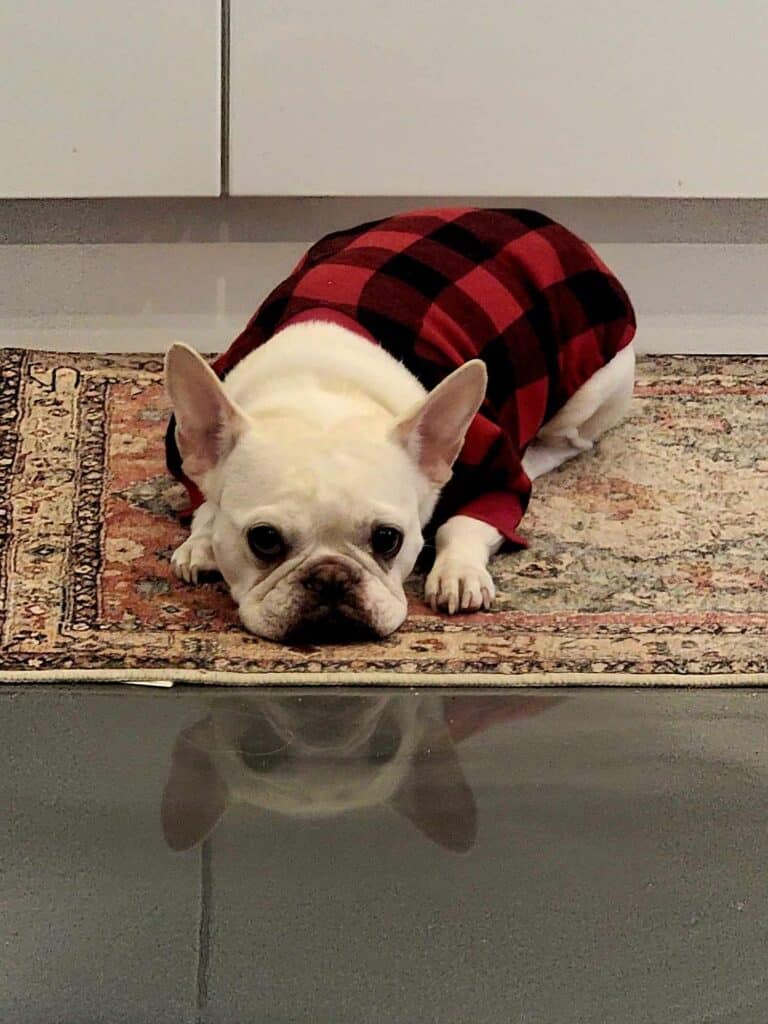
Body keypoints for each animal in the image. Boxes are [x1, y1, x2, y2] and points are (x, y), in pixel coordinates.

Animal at [163, 207, 638, 638]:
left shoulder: (494, 474)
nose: (331, 578)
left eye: (388, 538)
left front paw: (458, 572)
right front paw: (202, 538)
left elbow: (466, 521)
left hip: (593, 387)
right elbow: (204, 501)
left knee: (565, 443)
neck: (324, 386)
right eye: (263, 539)